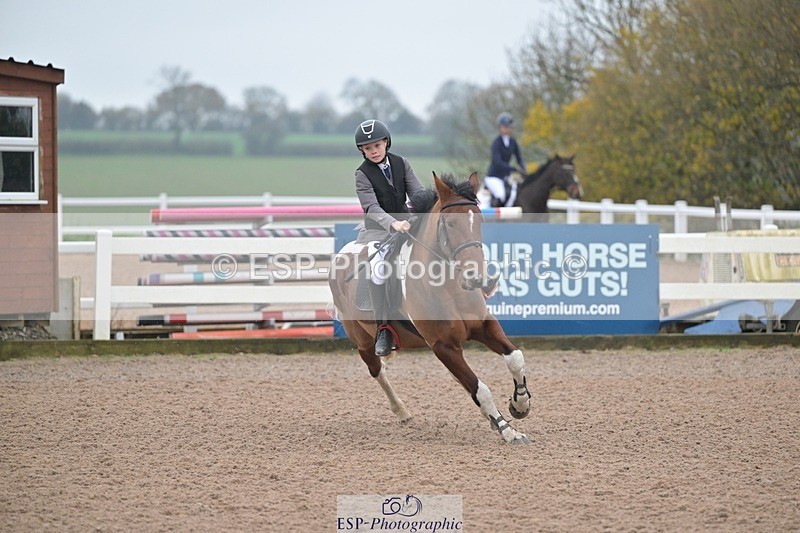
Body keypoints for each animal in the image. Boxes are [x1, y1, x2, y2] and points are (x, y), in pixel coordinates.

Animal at [329, 171, 533, 445]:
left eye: (478, 220)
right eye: (449, 224)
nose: (477, 278)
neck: (448, 286)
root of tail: (342, 254)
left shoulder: (483, 326)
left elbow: (515, 359)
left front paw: (519, 405)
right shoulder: (443, 346)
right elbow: (480, 388)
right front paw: (508, 430)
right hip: (362, 341)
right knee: (377, 370)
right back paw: (402, 411)